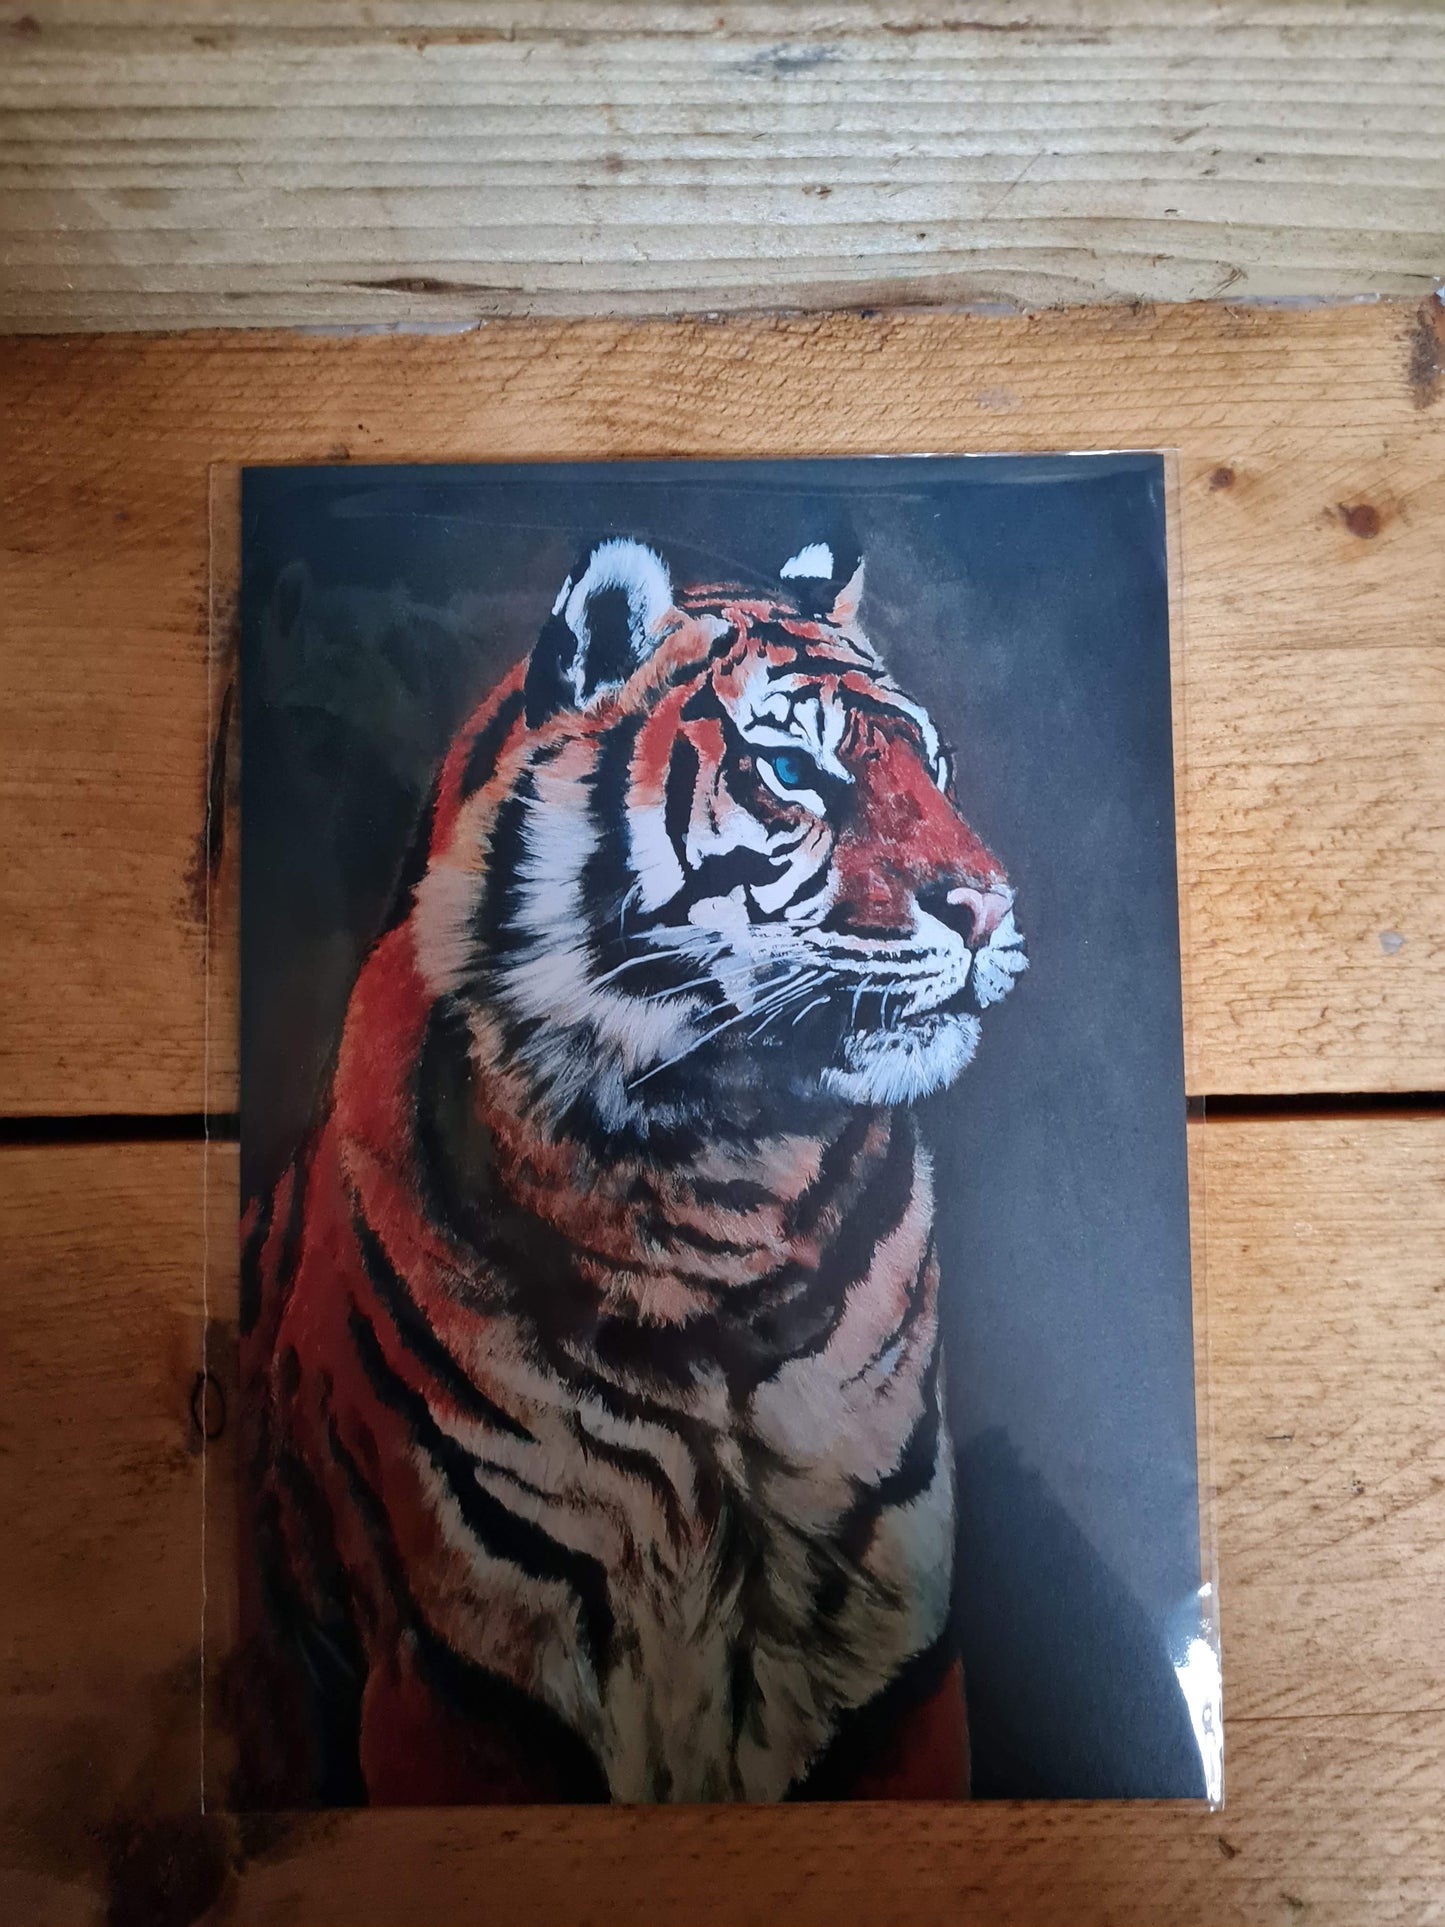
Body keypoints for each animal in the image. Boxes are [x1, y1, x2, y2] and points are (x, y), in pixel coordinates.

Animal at [236, 534, 1028, 1806]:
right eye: (789, 768)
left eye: (937, 766)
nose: (990, 908)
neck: (721, 1179)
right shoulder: (461, 1673)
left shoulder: (890, 1664)